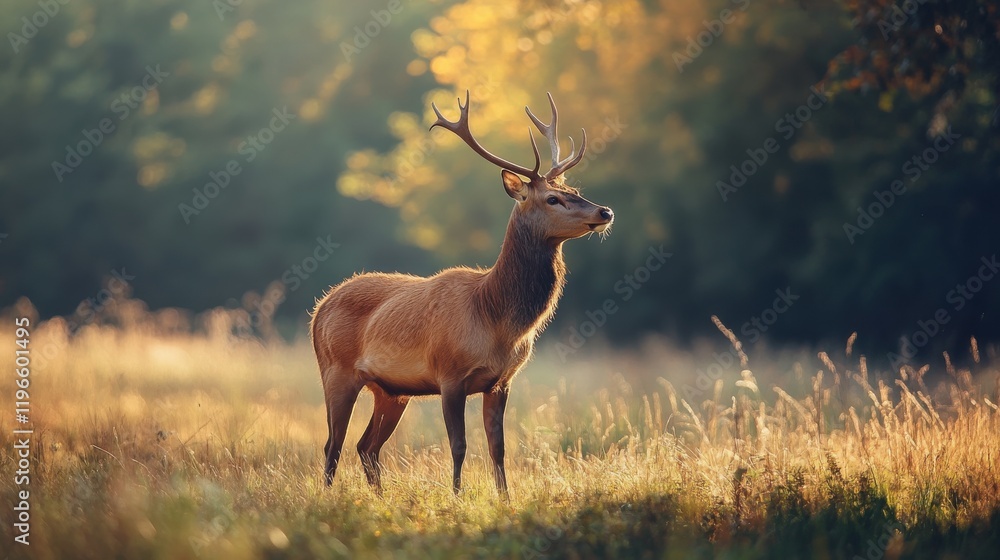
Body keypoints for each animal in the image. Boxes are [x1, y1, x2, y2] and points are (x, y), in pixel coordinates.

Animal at [310, 91, 613, 497]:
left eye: (574, 191)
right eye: (552, 198)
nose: (605, 211)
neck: (496, 319)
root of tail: (319, 308)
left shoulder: (501, 381)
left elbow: (498, 447)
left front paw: (505, 499)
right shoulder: (449, 375)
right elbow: (459, 445)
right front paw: (456, 497)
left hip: (391, 390)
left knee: (366, 446)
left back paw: (380, 498)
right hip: (335, 370)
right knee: (333, 444)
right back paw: (330, 499)